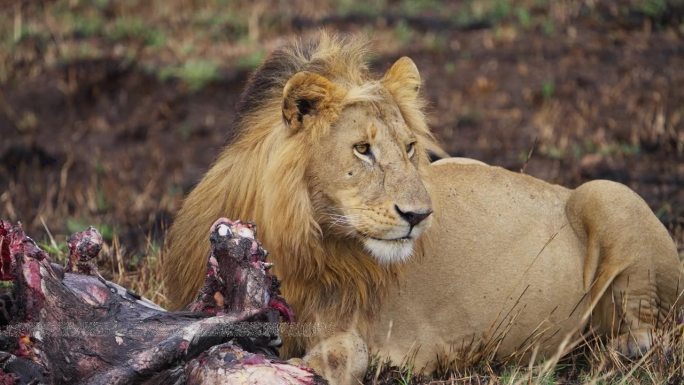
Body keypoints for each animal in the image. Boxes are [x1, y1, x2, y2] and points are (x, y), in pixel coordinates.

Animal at [163, 33, 680, 384]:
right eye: (362, 150)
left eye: (409, 147)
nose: (418, 216)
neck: (299, 240)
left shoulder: (377, 330)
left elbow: (349, 353)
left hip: (608, 191)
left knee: (647, 322)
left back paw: (622, 348)